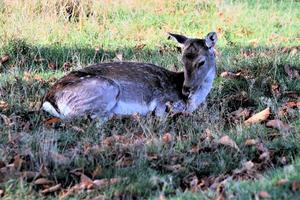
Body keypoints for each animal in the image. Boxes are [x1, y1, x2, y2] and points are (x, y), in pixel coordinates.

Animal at [41, 32, 218, 121]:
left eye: (201, 62)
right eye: (182, 60)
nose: (186, 89)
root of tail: (49, 100)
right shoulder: (162, 101)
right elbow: (161, 113)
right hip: (107, 89)